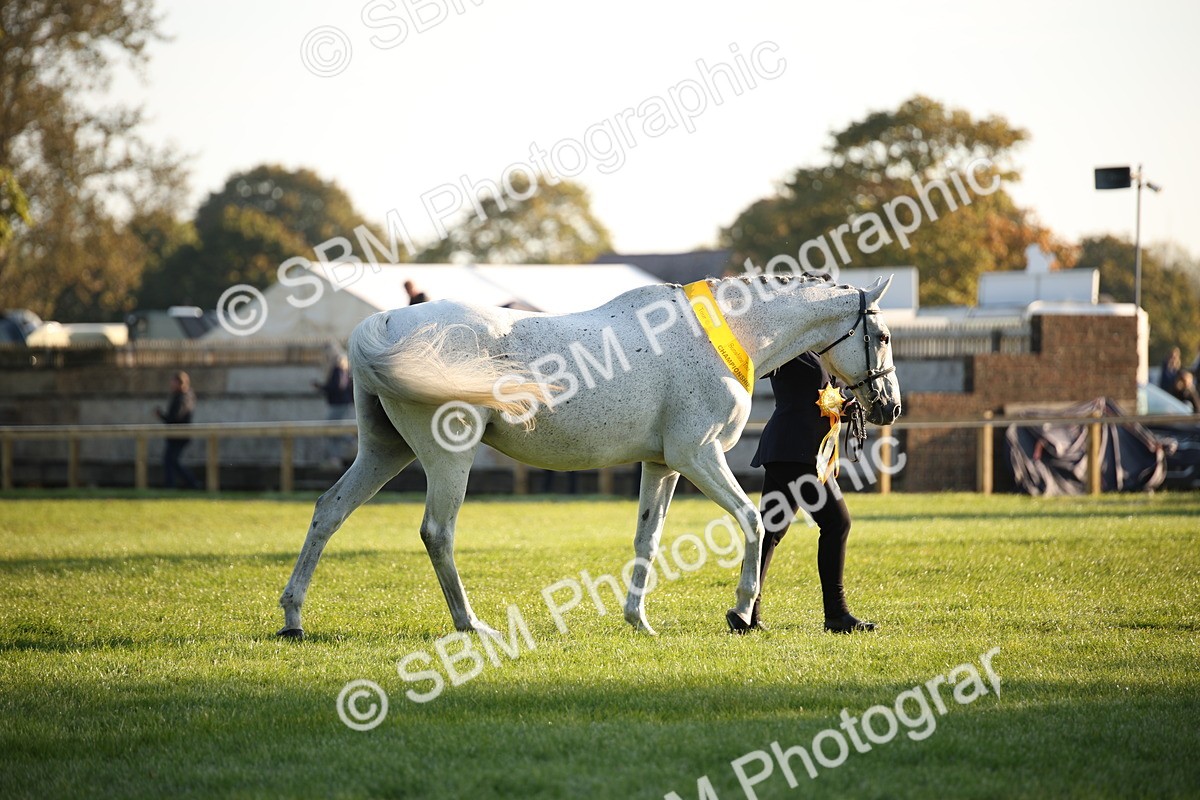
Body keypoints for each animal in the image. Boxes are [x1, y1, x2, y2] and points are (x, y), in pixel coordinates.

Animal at [277, 273, 901, 639]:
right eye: (886, 336)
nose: (889, 405)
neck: (724, 334)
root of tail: (384, 321)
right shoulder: (698, 456)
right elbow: (751, 519)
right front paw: (744, 611)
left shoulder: (663, 464)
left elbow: (647, 538)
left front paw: (639, 621)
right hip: (447, 456)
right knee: (437, 532)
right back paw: (471, 624)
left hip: (385, 451)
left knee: (329, 510)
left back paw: (293, 620)